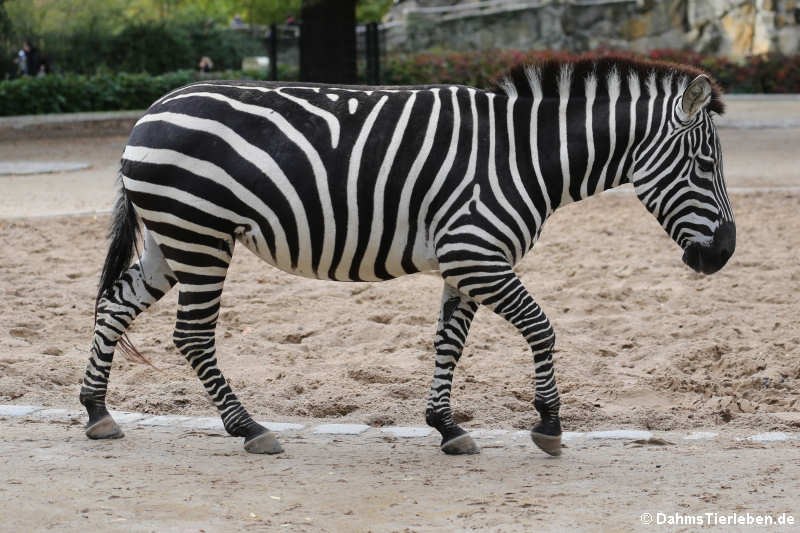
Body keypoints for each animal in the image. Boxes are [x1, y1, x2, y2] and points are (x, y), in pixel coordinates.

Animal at [81, 57, 736, 458]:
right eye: (704, 165)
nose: (725, 255)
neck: (524, 157)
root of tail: (151, 111)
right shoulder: (477, 255)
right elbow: (542, 328)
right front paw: (549, 425)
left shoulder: (467, 262)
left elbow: (449, 343)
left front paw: (446, 426)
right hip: (200, 234)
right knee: (192, 336)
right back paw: (250, 429)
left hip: (172, 238)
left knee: (114, 306)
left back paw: (96, 412)